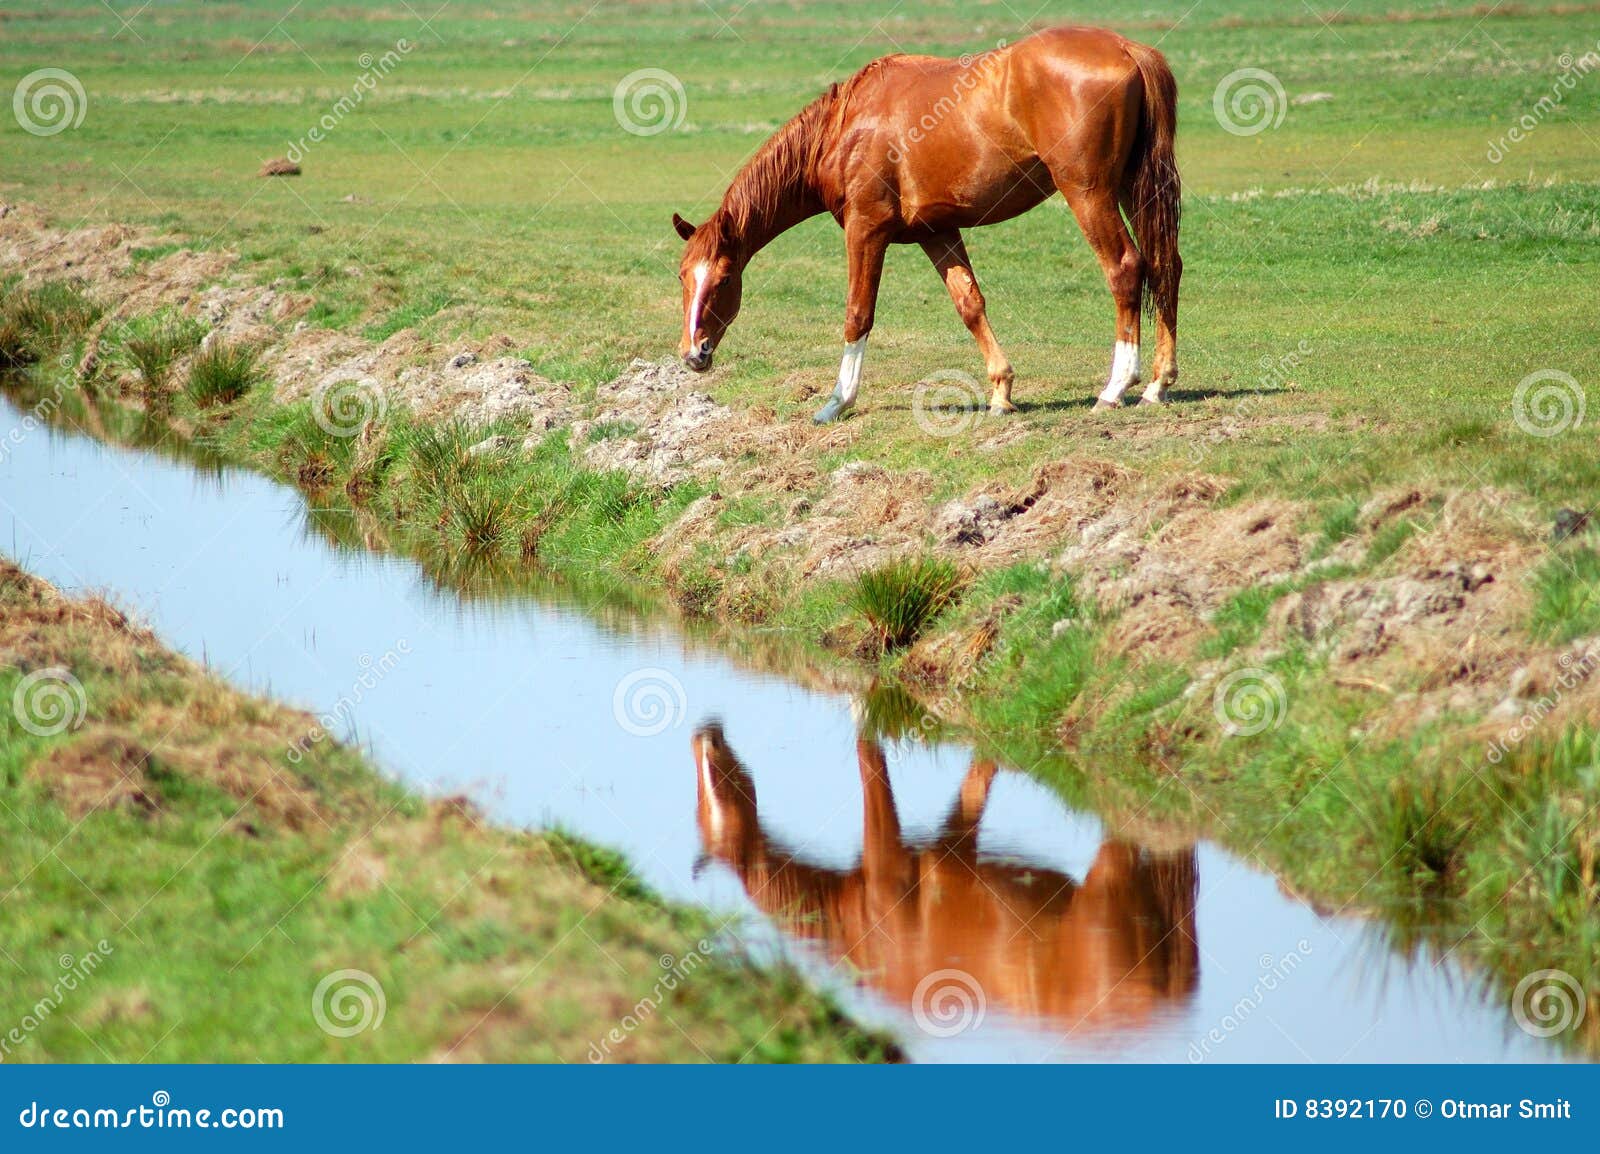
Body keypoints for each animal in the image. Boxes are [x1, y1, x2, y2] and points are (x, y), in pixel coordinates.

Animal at [668, 24, 1184, 422]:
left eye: (725, 279)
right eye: (682, 278)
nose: (694, 353)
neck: (843, 127)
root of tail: (1126, 49)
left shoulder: (866, 230)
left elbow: (858, 313)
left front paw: (837, 402)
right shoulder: (937, 233)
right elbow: (969, 303)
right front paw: (1001, 392)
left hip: (1089, 194)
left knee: (1125, 267)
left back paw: (1117, 387)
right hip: (1133, 189)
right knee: (1166, 266)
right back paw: (1158, 384)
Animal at [691, 723, 1203, 1030]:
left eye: (715, 788)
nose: (704, 735)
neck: (851, 923)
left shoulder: (889, 858)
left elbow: (868, 755)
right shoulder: (953, 845)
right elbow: (977, 780)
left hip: (1110, 873)